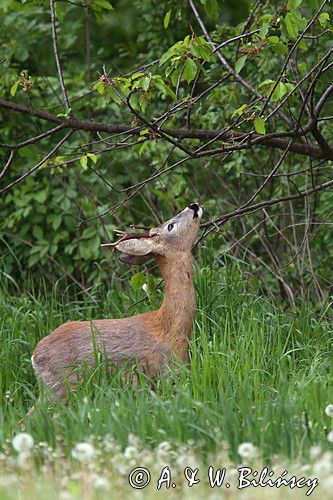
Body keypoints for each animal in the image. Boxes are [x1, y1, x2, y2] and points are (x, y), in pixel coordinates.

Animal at [30, 203, 202, 406]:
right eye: (170, 226)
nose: (194, 206)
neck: (171, 327)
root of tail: (35, 357)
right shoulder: (164, 371)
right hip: (60, 387)